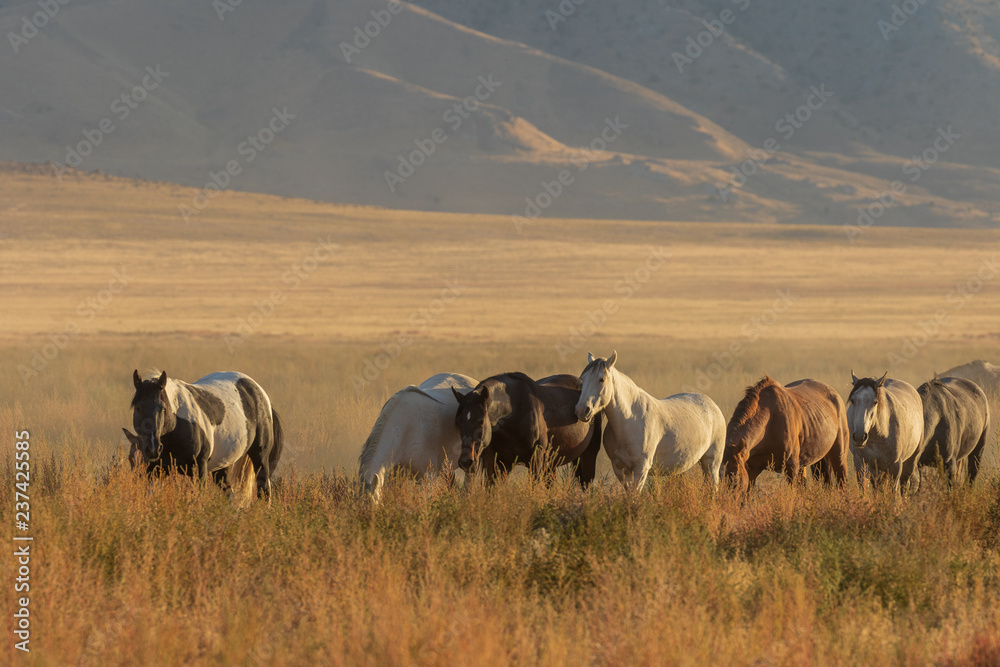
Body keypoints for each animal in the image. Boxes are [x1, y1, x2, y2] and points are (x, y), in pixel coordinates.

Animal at [129, 369, 284, 502]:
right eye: (138, 408)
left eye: (162, 409)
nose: (152, 449)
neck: (178, 425)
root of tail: (261, 393)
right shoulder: (156, 470)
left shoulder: (200, 469)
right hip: (223, 464)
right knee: (229, 494)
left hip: (260, 457)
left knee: (264, 492)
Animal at [452, 372, 602, 487]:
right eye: (458, 421)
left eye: (481, 421)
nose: (465, 462)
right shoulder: (499, 464)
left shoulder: (536, 461)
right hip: (551, 464)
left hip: (587, 456)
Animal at [574, 351, 725, 492]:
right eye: (582, 379)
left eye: (601, 379)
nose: (581, 410)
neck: (629, 421)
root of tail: (712, 405)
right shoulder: (620, 469)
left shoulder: (641, 469)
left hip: (711, 463)